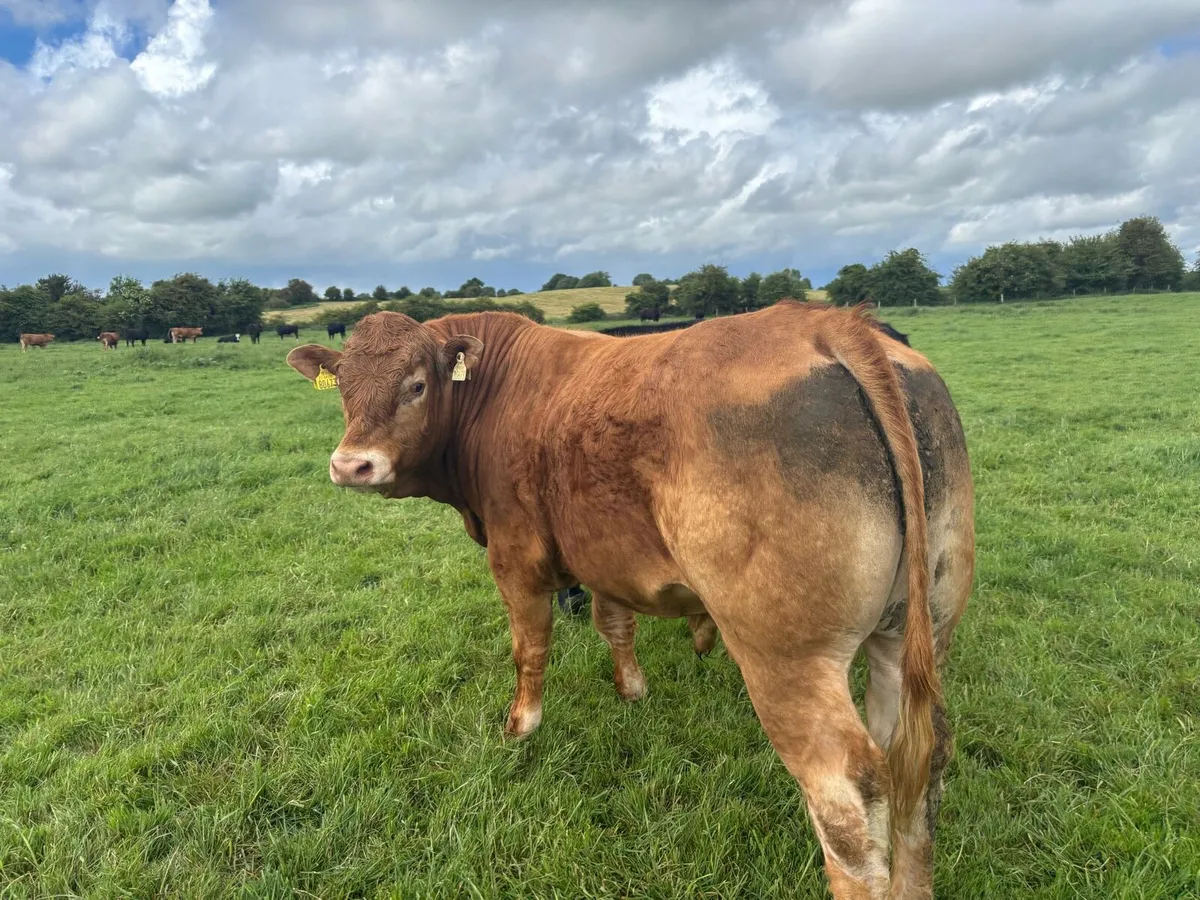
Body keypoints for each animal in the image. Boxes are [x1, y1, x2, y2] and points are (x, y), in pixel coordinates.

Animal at [285, 303, 974, 899]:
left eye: (417, 385)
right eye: (343, 385)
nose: (351, 466)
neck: (495, 394)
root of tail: (827, 322)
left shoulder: (515, 557)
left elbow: (528, 646)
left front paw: (521, 726)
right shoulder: (603, 558)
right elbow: (615, 623)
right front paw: (632, 690)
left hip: (788, 662)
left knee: (847, 796)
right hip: (912, 633)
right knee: (916, 758)